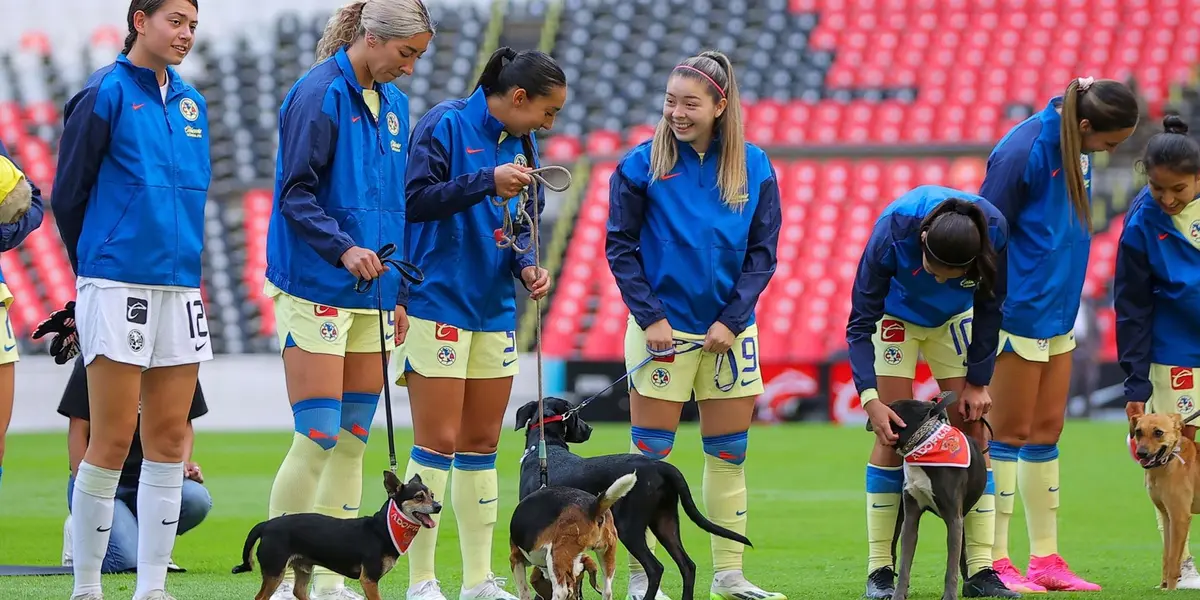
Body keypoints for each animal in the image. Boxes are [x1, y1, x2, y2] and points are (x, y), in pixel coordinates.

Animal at [231, 470, 439, 597]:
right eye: (418, 497)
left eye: (432, 495)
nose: (438, 506)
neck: (384, 528)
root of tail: (266, 525)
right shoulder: (369, 579)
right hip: (275, 571)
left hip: (302, 568)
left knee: (299, 591)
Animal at [511, 472, 643, 600]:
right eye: (580, 580)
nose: (576, 596)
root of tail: (592, 507)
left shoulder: (515, 558)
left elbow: (524, 591)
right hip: (607, 554)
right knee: (607, 591)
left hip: (556, 555)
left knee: (561, 592)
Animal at [868, 391, 988, 600]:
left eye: (892, 407)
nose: (872, 418)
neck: (923, 446)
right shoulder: (910, 516)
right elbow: (905, 562)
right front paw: (899, 594)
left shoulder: (954, 518)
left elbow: (951, 564)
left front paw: (950, 596)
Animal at [1128, 405, 1195, 588]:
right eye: (1138, 431)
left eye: (1158, 432)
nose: (1141, 453)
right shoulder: (1167, 516)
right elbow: (1166, 554)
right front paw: (1164, 586)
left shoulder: (1180, 517)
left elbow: (1173, 558)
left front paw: (1171, 587)